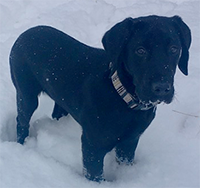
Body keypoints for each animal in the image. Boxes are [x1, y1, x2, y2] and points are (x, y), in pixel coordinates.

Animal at [9, 15, 191, 181]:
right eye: (140, 50)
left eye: (174, 48)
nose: (162, 88)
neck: (123, 99)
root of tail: (25, 33)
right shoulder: (93, 146)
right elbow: (95, 175)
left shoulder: (129, 141)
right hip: (26, 94)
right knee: (22, 121)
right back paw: (21, 145)